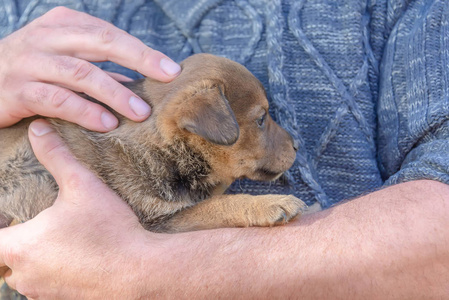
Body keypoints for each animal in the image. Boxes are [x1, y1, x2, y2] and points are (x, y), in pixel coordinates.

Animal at [0, 53, 304, 232]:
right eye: (262, 119)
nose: (297, 146)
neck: (163, 151)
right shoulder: (159, 220)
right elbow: (217, 205)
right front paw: (272, 204)